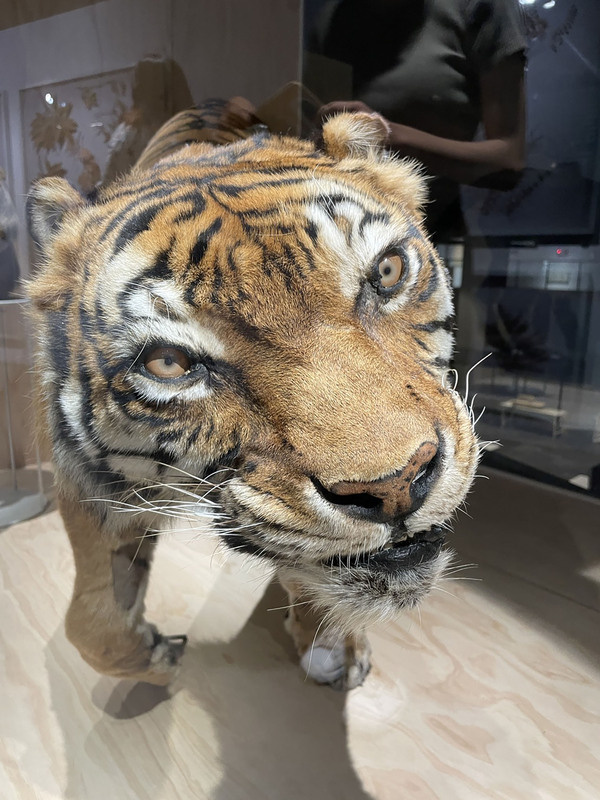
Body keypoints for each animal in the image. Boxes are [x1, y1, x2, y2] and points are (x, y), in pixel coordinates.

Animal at [26, 100, 478, 691]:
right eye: (168, 363)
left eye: (387, 272)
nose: (396, 486)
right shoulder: (89, 486)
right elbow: (93, 625)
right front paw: (157, 657)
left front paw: (330, 643)